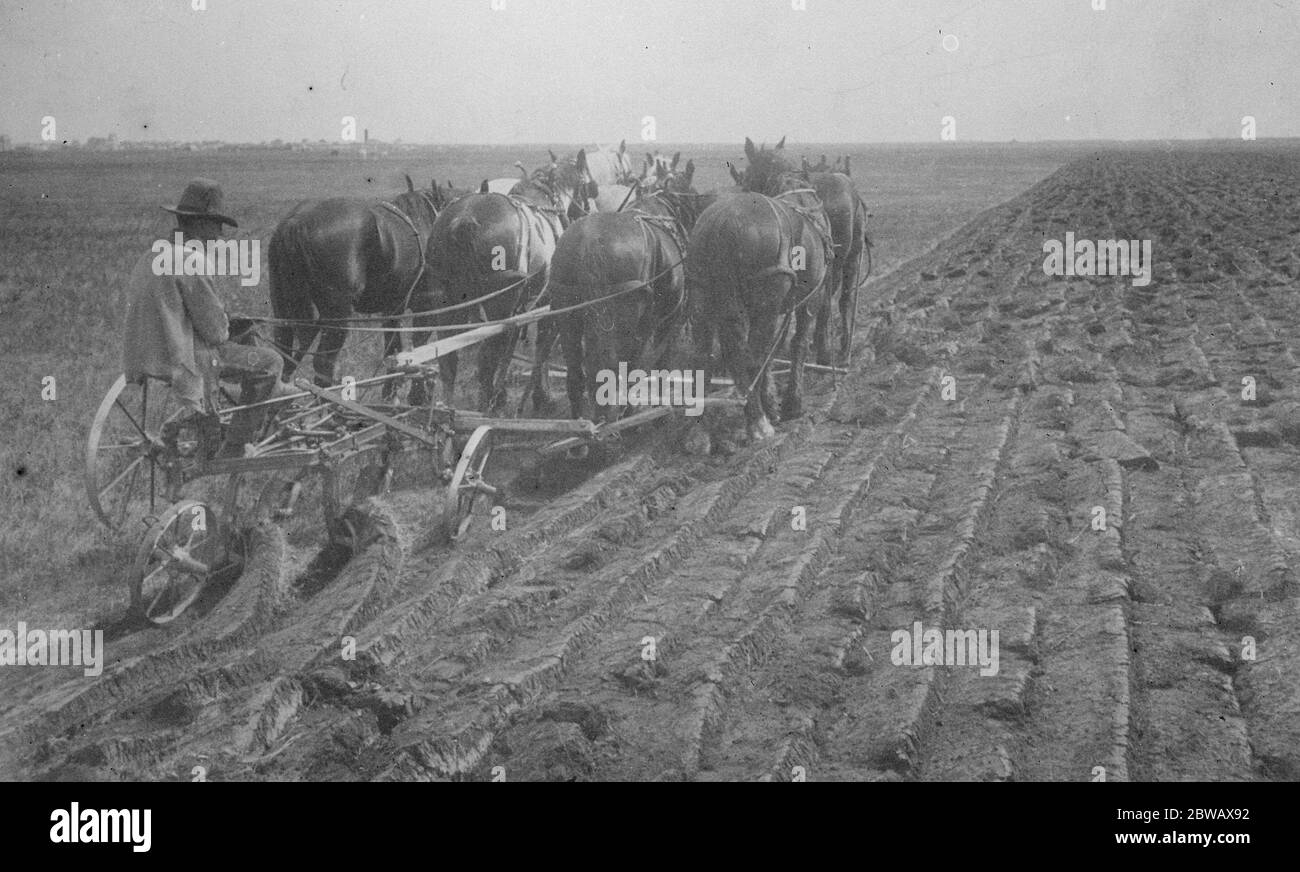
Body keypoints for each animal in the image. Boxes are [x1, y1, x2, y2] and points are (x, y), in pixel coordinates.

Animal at [266, 175, 454, 400]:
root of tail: (295, 222)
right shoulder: (425, 309)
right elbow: (420, 349)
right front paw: (417, 397)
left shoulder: (392, 310)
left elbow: (393, 351)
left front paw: (390, 395)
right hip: (338, 315)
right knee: (323, 363)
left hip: (283, 308)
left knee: (284, 354)